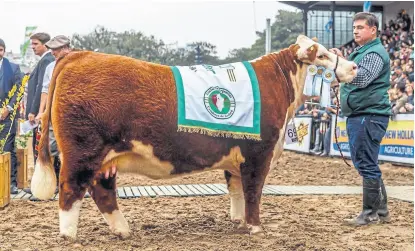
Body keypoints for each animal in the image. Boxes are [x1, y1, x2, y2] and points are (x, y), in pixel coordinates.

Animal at [31, 34, 358, 239]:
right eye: (324, 55)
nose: (354, 66)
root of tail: (79, 56)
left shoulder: (236, 155)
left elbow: (236, 190)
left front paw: (238, 221)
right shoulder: (258, 152)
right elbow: (253, 191)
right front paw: (255, 227)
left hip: (105, 156)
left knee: (102, 190)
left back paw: (123, 230)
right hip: (83, 150)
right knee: (71, 188)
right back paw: (69, 235)